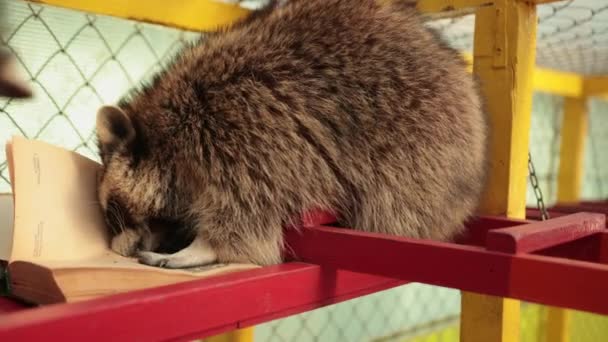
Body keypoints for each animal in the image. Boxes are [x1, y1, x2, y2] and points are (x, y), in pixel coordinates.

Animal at [97, 0, 492, 268]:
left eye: (115, 209)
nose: (117, 248)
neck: (165, 133)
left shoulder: (242, 136)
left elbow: (248, 220)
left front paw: (202, 247)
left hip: (424, 156)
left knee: (394, 203)